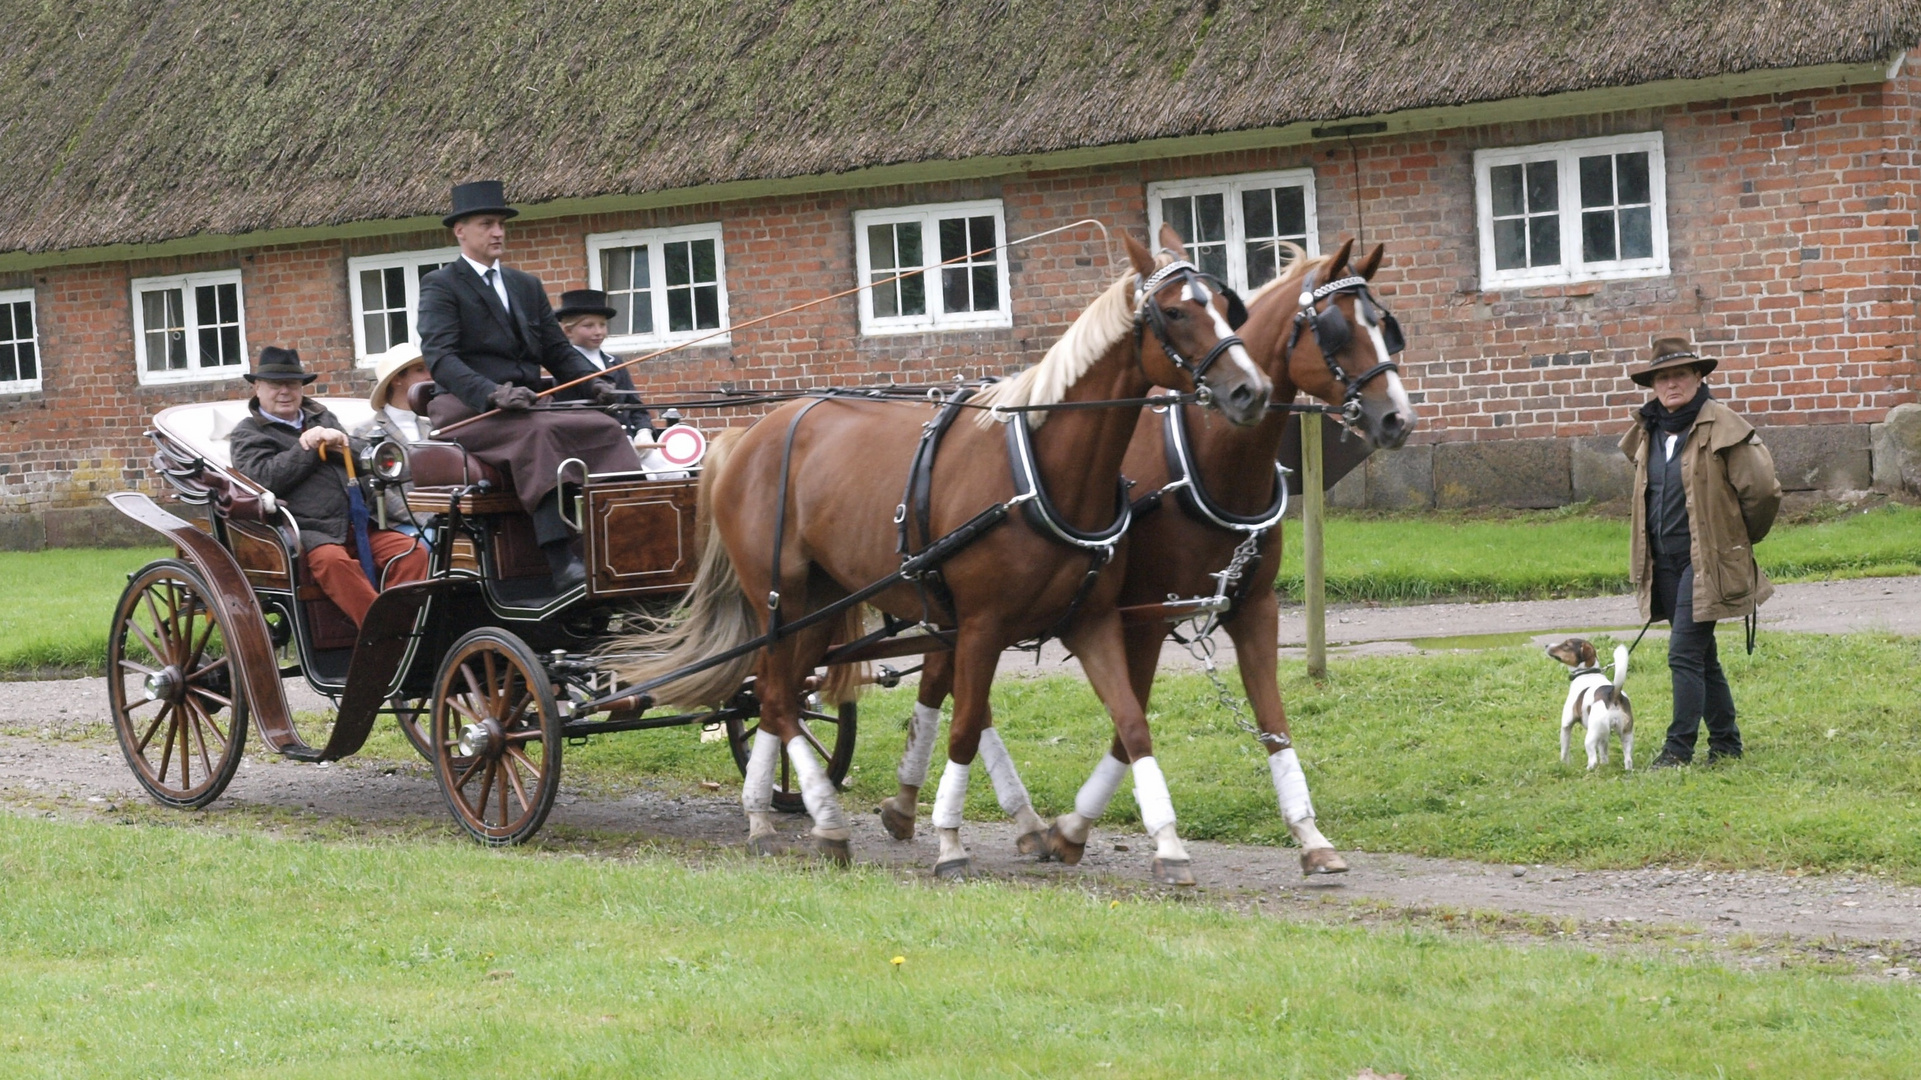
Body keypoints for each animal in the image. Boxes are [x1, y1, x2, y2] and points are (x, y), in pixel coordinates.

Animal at [622, 226, 1267, 876]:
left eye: (1225, 303)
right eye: (1176, 311)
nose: (1251, 390)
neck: (1039, 471)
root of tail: (746, 437)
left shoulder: (1090, 620)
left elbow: (1131, 725)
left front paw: (1165, 844)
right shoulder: (982, 626)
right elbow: (963, 727)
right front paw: (951, 841)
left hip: (819, 605)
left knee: (775, 698)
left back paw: (764, 813)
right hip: (781, 596)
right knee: (777, 700)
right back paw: (824, 822)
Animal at [879, 235, 1413, 876]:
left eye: (1384, 325)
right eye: (1336, 330)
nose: (1397, 418)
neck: (1205, 461)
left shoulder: (1252, 607)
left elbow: (1273, 725)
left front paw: (1310, 836)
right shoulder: (1145, 617)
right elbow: (1127, 722)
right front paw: (1083, 829)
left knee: (947, 682)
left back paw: (929, 807)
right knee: (952, 685)